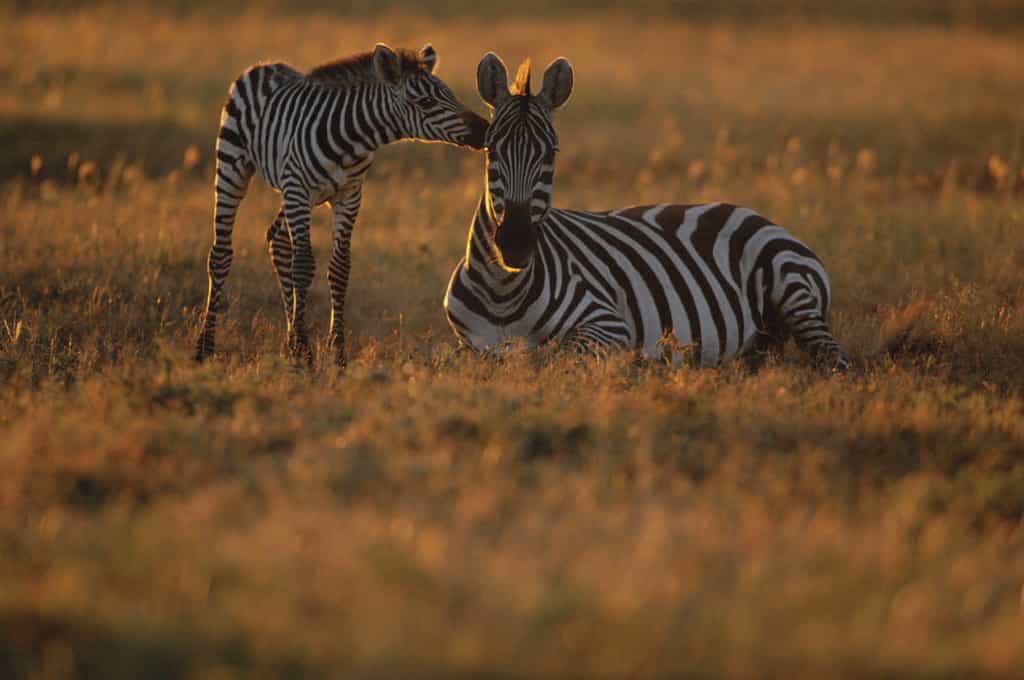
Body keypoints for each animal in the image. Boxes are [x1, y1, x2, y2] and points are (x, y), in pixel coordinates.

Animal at [196, 43, 487, 366]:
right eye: (425, 102)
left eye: (450, 94)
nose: (485, 130)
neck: (353, 141)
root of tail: (264, 65)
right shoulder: (298, 189)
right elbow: (303, 264)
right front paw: (305, 352)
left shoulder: (349, 195)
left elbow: (340, 267)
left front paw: (336, 352)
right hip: (235, 167)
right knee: (221, 254)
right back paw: (205, 347)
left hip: (295, 193)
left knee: (278, 240)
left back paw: (288, 339)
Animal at [443, 53, 850, 371]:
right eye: (491, 150)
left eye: (552, 154)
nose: (515, 243)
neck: (502, 291)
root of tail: (758, 215)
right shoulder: (469, 346)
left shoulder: (606, 322)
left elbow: (559, 357)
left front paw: (637, 359)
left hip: (792, 287)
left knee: (833, 356)